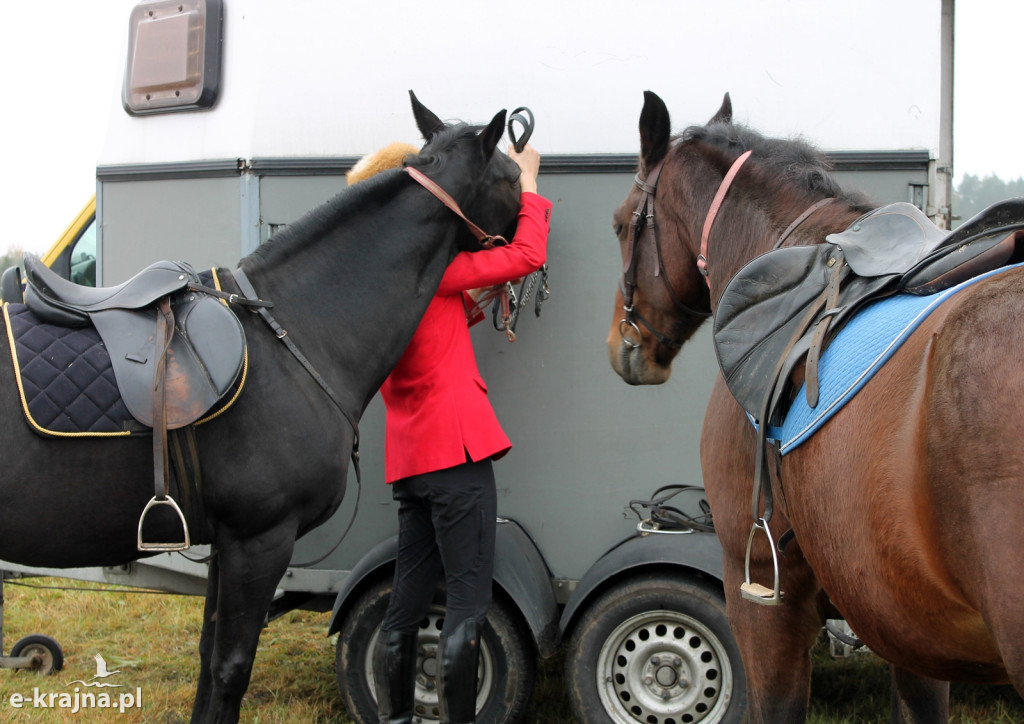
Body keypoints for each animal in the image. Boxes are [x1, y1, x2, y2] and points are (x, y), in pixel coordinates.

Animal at [0, 93, 524, 720]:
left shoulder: (225, 542)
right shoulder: (260, 538)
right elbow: (230, 668)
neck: (293, 330)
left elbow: (208, 659)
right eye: (514, 177)